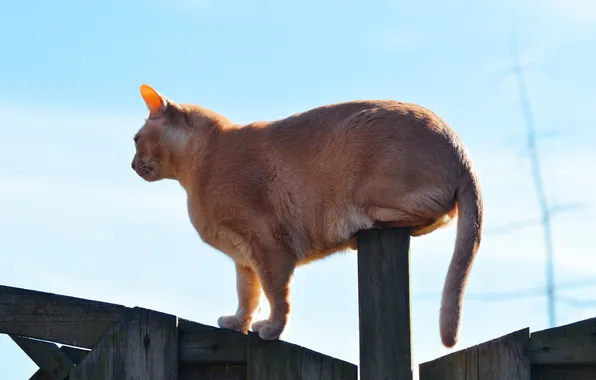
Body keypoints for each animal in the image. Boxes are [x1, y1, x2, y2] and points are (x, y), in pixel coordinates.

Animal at [132, 83, 484, 348]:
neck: (198, 168)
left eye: (135, 140)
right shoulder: (244, 260)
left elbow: (276, 297)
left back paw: (361, 227)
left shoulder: (269, 249)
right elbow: (248, 297)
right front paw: (237, 324)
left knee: (429, 215)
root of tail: (460, 149)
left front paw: (270, 330)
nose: (132, 165)